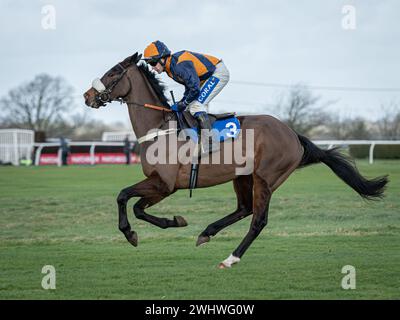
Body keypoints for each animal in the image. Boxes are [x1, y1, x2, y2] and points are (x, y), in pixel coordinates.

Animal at [83, 52, 388, 268]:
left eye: (113, 72)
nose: (88, 96)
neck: (160, 128)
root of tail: (292, 133)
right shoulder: (162, 186)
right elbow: (137, 207)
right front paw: (175, 222)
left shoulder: (164, 184)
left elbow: (124, 197)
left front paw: (131, 233)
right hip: (243, 176)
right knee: (244, 209)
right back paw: (207, 232)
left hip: (266, 178)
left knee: (258, 220)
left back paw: (231, 258)